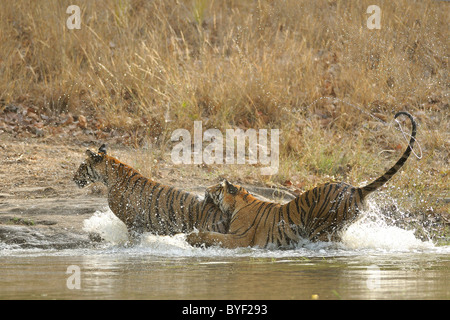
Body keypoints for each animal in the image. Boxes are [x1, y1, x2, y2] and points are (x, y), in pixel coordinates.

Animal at [186, 112, 418, 250]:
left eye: (216, 187)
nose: (205, 188)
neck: (240, 201)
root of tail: (356, 189)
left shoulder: (240, 239)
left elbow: (212, 236)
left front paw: (191, 238)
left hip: (322, 228)